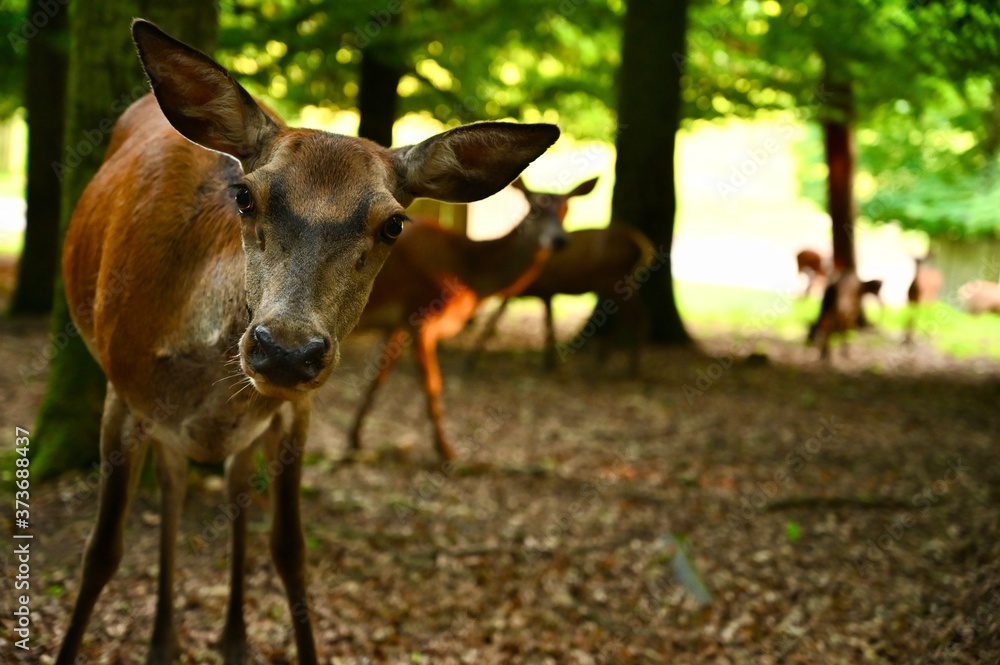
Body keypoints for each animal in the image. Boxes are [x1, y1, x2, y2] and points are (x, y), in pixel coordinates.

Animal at [55, 20, 558, 665]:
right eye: (245, 196)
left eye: (393, 223)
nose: (286, 350)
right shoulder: (122, 389)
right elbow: (100, 553)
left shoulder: (294, 411)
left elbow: (291, 551)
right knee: (173, 482)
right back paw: (165, 640)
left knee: (225, 484)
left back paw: (229, 637)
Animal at [348, 176, 597, 460]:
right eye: (534, 207)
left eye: (567, 208)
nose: (559, 240)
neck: (467, 270)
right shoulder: (421, 314)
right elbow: (432, 385)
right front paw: (446, 451)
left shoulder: (396, 323)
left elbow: (377, 378)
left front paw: (355, 438)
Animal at [466, 222, 656, 373]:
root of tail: (640, 245)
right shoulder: (543, 292)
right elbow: (547, 323)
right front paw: (549, 363)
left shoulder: (537, 290)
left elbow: (492, 323)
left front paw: (468, 364)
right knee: (626, 315)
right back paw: (606, 360)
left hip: (614, 279)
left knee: (637, 315)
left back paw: (631, 367)